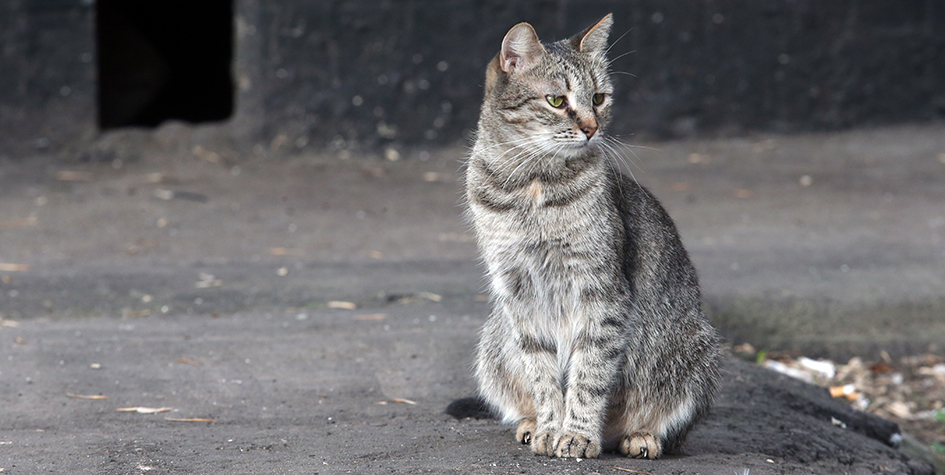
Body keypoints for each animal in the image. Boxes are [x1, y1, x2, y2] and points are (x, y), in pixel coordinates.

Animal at [460, 15, 720, 462]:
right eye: (556, 101)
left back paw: (640, 436)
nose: (591, 128)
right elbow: (543, 376)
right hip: (494, 338)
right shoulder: (519, 293)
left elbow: (589, 375)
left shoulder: (602, 292)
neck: (532, 185)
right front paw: (550, 427)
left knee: (666, 427)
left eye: (599, 98)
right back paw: (529, 424)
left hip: (695, 344)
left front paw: (578, 433)